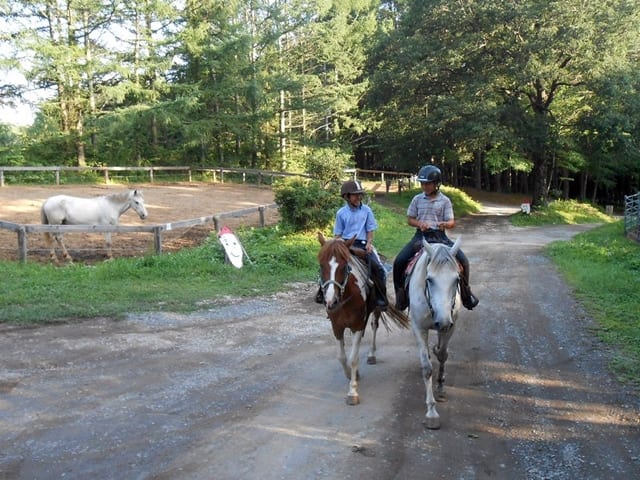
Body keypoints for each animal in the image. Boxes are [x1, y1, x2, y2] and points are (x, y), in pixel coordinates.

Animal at [316, 232, 410, 404]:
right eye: (321, 266)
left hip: (377, 309)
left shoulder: (357, 325)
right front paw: (351, 375)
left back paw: (372, 355)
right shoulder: (337, 326)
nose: (331, 301)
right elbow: (341, 357)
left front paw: (352, 392)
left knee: (374, 326)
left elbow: (353, 357)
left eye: (344, 266)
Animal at [408, 235, 462, 428]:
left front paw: (440, 387)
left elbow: (443, 355)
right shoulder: (418, 328)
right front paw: (431, 412)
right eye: (429, 279)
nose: (443, 321)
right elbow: (427, 368)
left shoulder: (451, 326)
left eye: (457, 280)